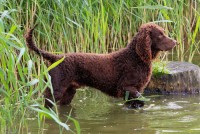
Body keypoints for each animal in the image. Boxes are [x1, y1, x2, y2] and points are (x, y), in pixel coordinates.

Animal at [25, 23, 177, 108]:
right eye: (160, 35)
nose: (176, 42)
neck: (136, 57)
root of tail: (56, 57)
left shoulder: (133, 90)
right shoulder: (126, 87)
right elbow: (140, 98)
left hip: (69, 92)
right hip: (55, 90)